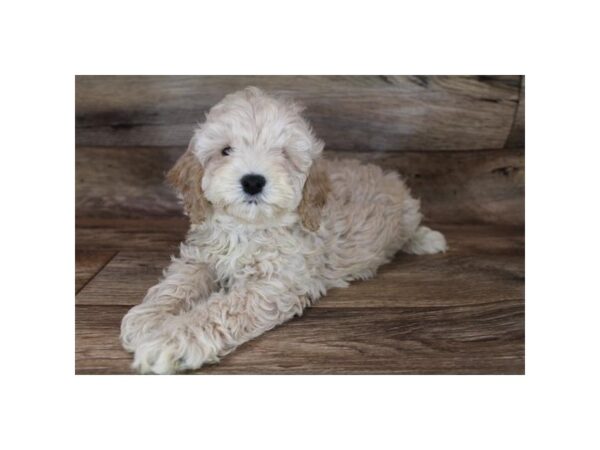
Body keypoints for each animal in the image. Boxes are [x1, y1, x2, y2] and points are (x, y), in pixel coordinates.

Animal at [119, 87, 446, 372]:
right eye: (225, 150)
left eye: (283, 154)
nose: (253, 181)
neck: (248, 228)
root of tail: (380, 171)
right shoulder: (202, 257)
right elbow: (179, 284)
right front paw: (149, 318)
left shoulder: (274, 284)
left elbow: (223, 308)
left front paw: (172, 339)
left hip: (407, 210)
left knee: (411, 227)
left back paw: (428, 239)